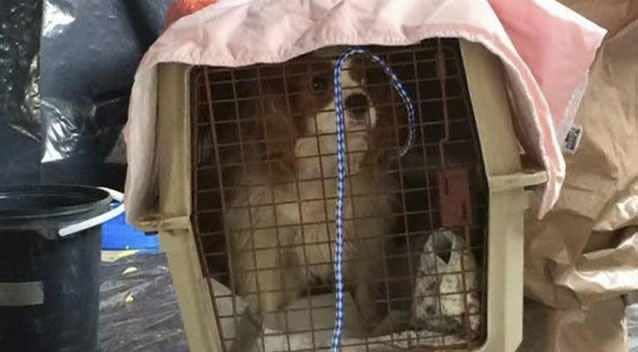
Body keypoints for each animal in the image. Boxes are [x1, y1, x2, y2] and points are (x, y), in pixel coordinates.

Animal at [192, 39, 488, 352]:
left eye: (366, 79)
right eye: (317, 83)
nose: (358, 101)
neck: (328, 167)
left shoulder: (364, 242)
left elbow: (365, 296)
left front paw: (372, 330)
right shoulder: (264, 247)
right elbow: (267, 304)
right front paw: (268, 337)